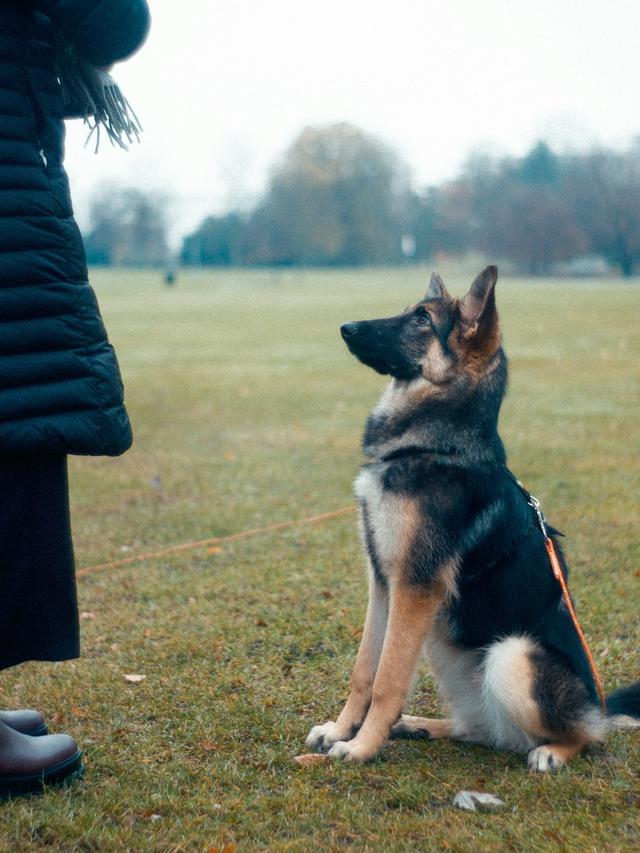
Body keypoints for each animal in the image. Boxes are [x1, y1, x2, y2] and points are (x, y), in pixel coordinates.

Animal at [306, 268, 640, 772]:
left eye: (422, 319)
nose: (346, 327)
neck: (435, 445)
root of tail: (596, 706)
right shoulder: (384, 582)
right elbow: (365, 669)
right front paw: (341, 731)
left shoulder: (415, 587)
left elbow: (387, 680)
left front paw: (361, 748)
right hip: (444, 644)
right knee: (483, 730)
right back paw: (422, 725)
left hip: (510, 654)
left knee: (582, 735)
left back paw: (554, 751)